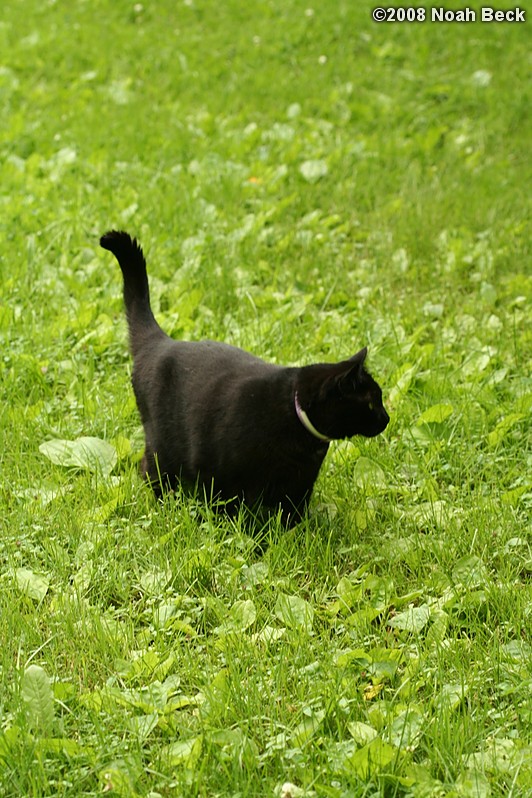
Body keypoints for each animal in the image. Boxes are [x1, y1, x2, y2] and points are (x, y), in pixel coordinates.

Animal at [101, 230, 390, 524]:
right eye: (371, 402)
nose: (387, 418)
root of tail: (160, 341)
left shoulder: (300, 484)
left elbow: (292, 513)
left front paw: (293, 532)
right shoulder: (217, 473)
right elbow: (226, 508)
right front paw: (235, 530)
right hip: (163, 445)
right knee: (151, 472)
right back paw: (166, 506)